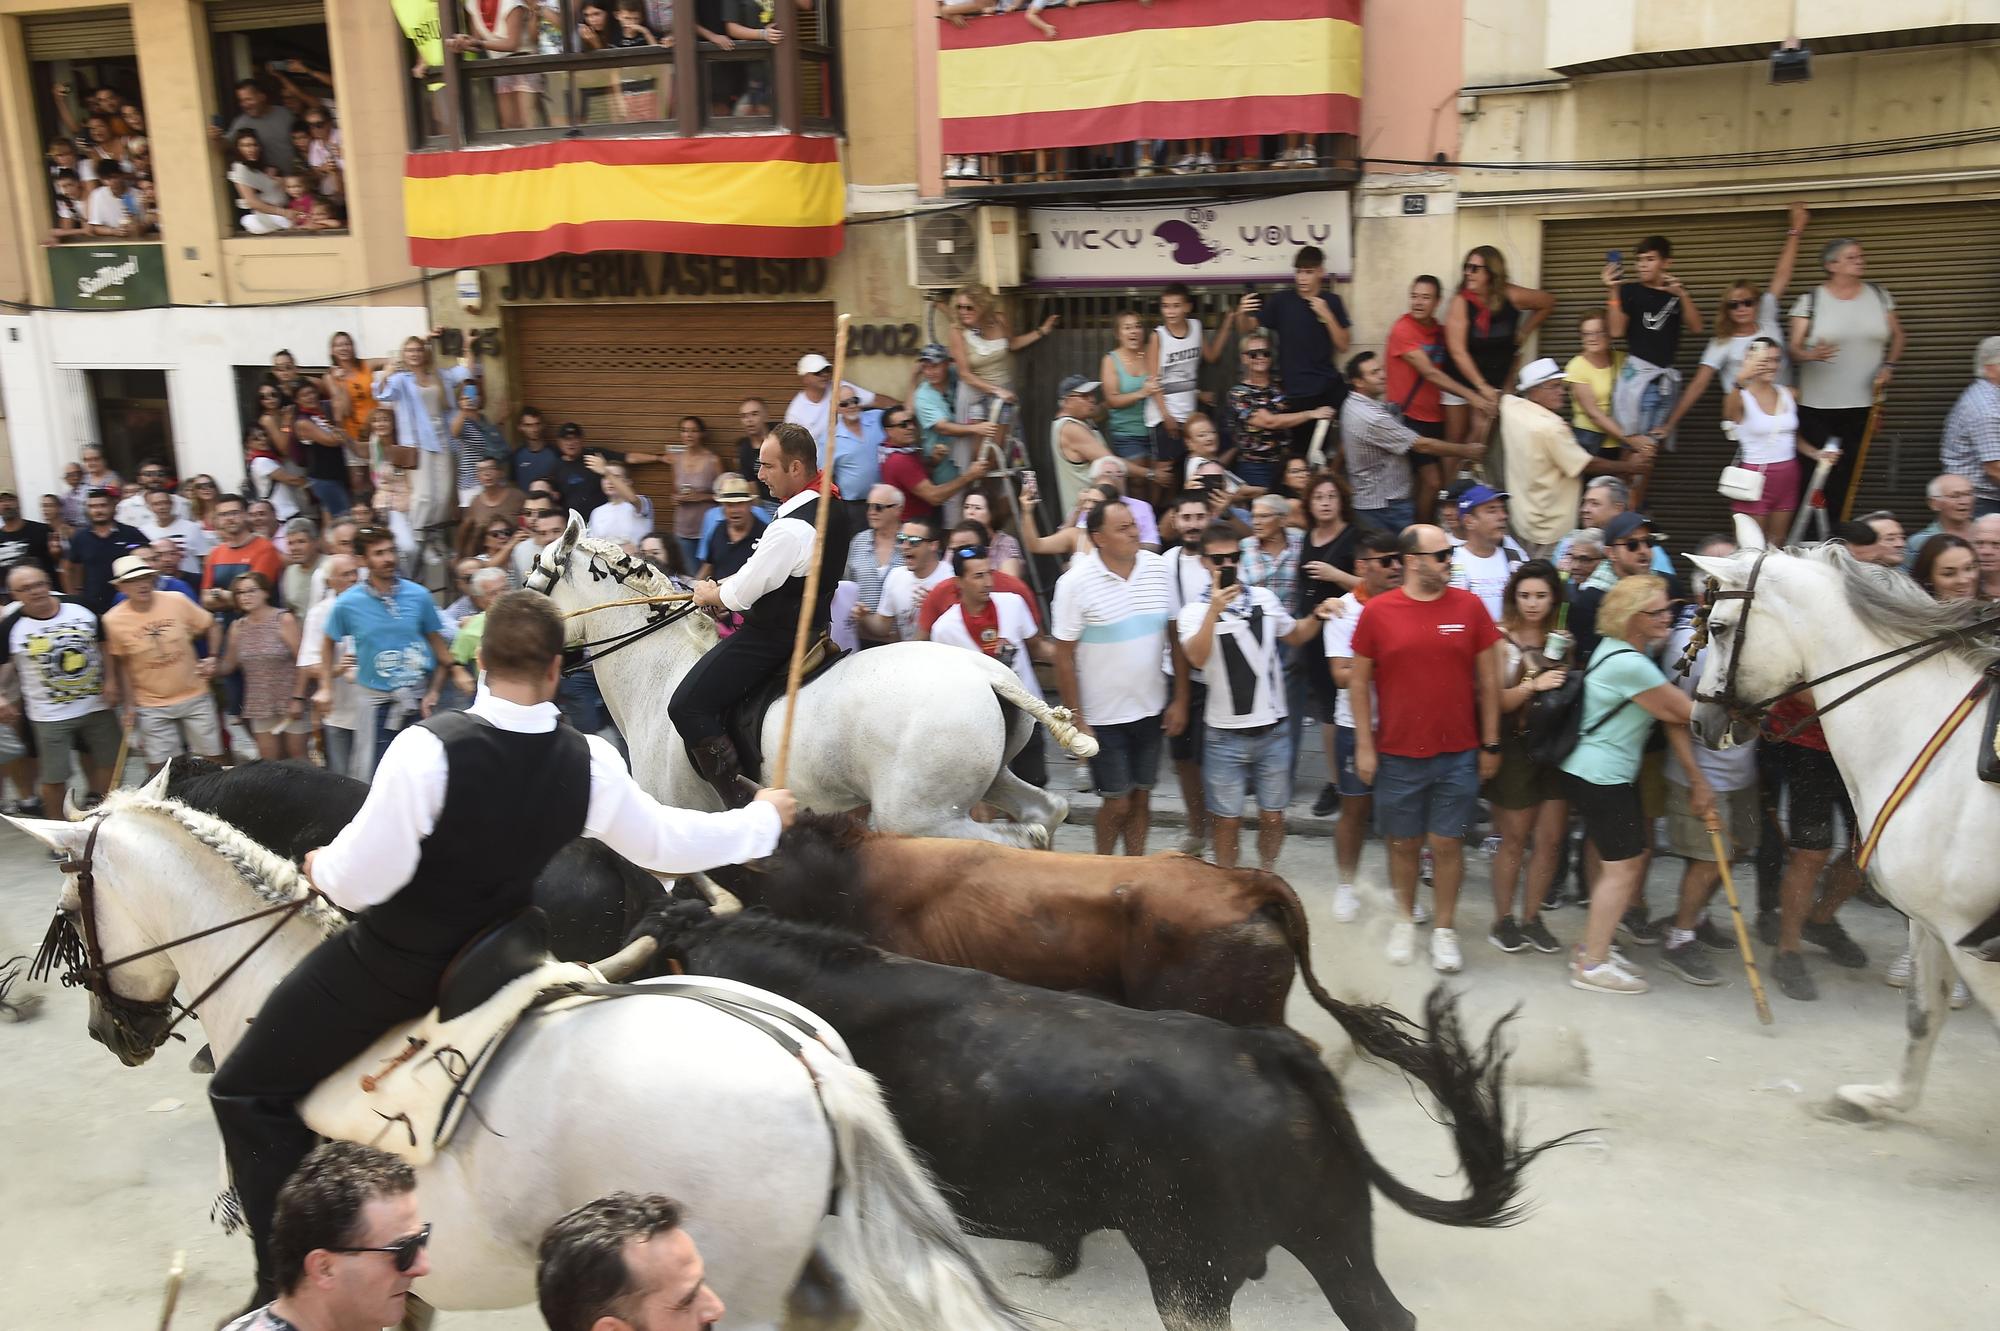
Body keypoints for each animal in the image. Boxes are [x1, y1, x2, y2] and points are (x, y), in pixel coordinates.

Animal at [524, 511, 1096, 843]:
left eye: (533, 582)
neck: (657, 672)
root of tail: (987, 675)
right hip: (988, 779)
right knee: (1046, 812)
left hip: (919, 817)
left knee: (1011, 838)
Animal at [1688, 511, 2000, 1111]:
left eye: (1716, 627)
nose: (1699, 722)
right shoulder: (1933, 923)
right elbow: (1922, 1014)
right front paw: (1883, 1100)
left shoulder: (1969, 939)